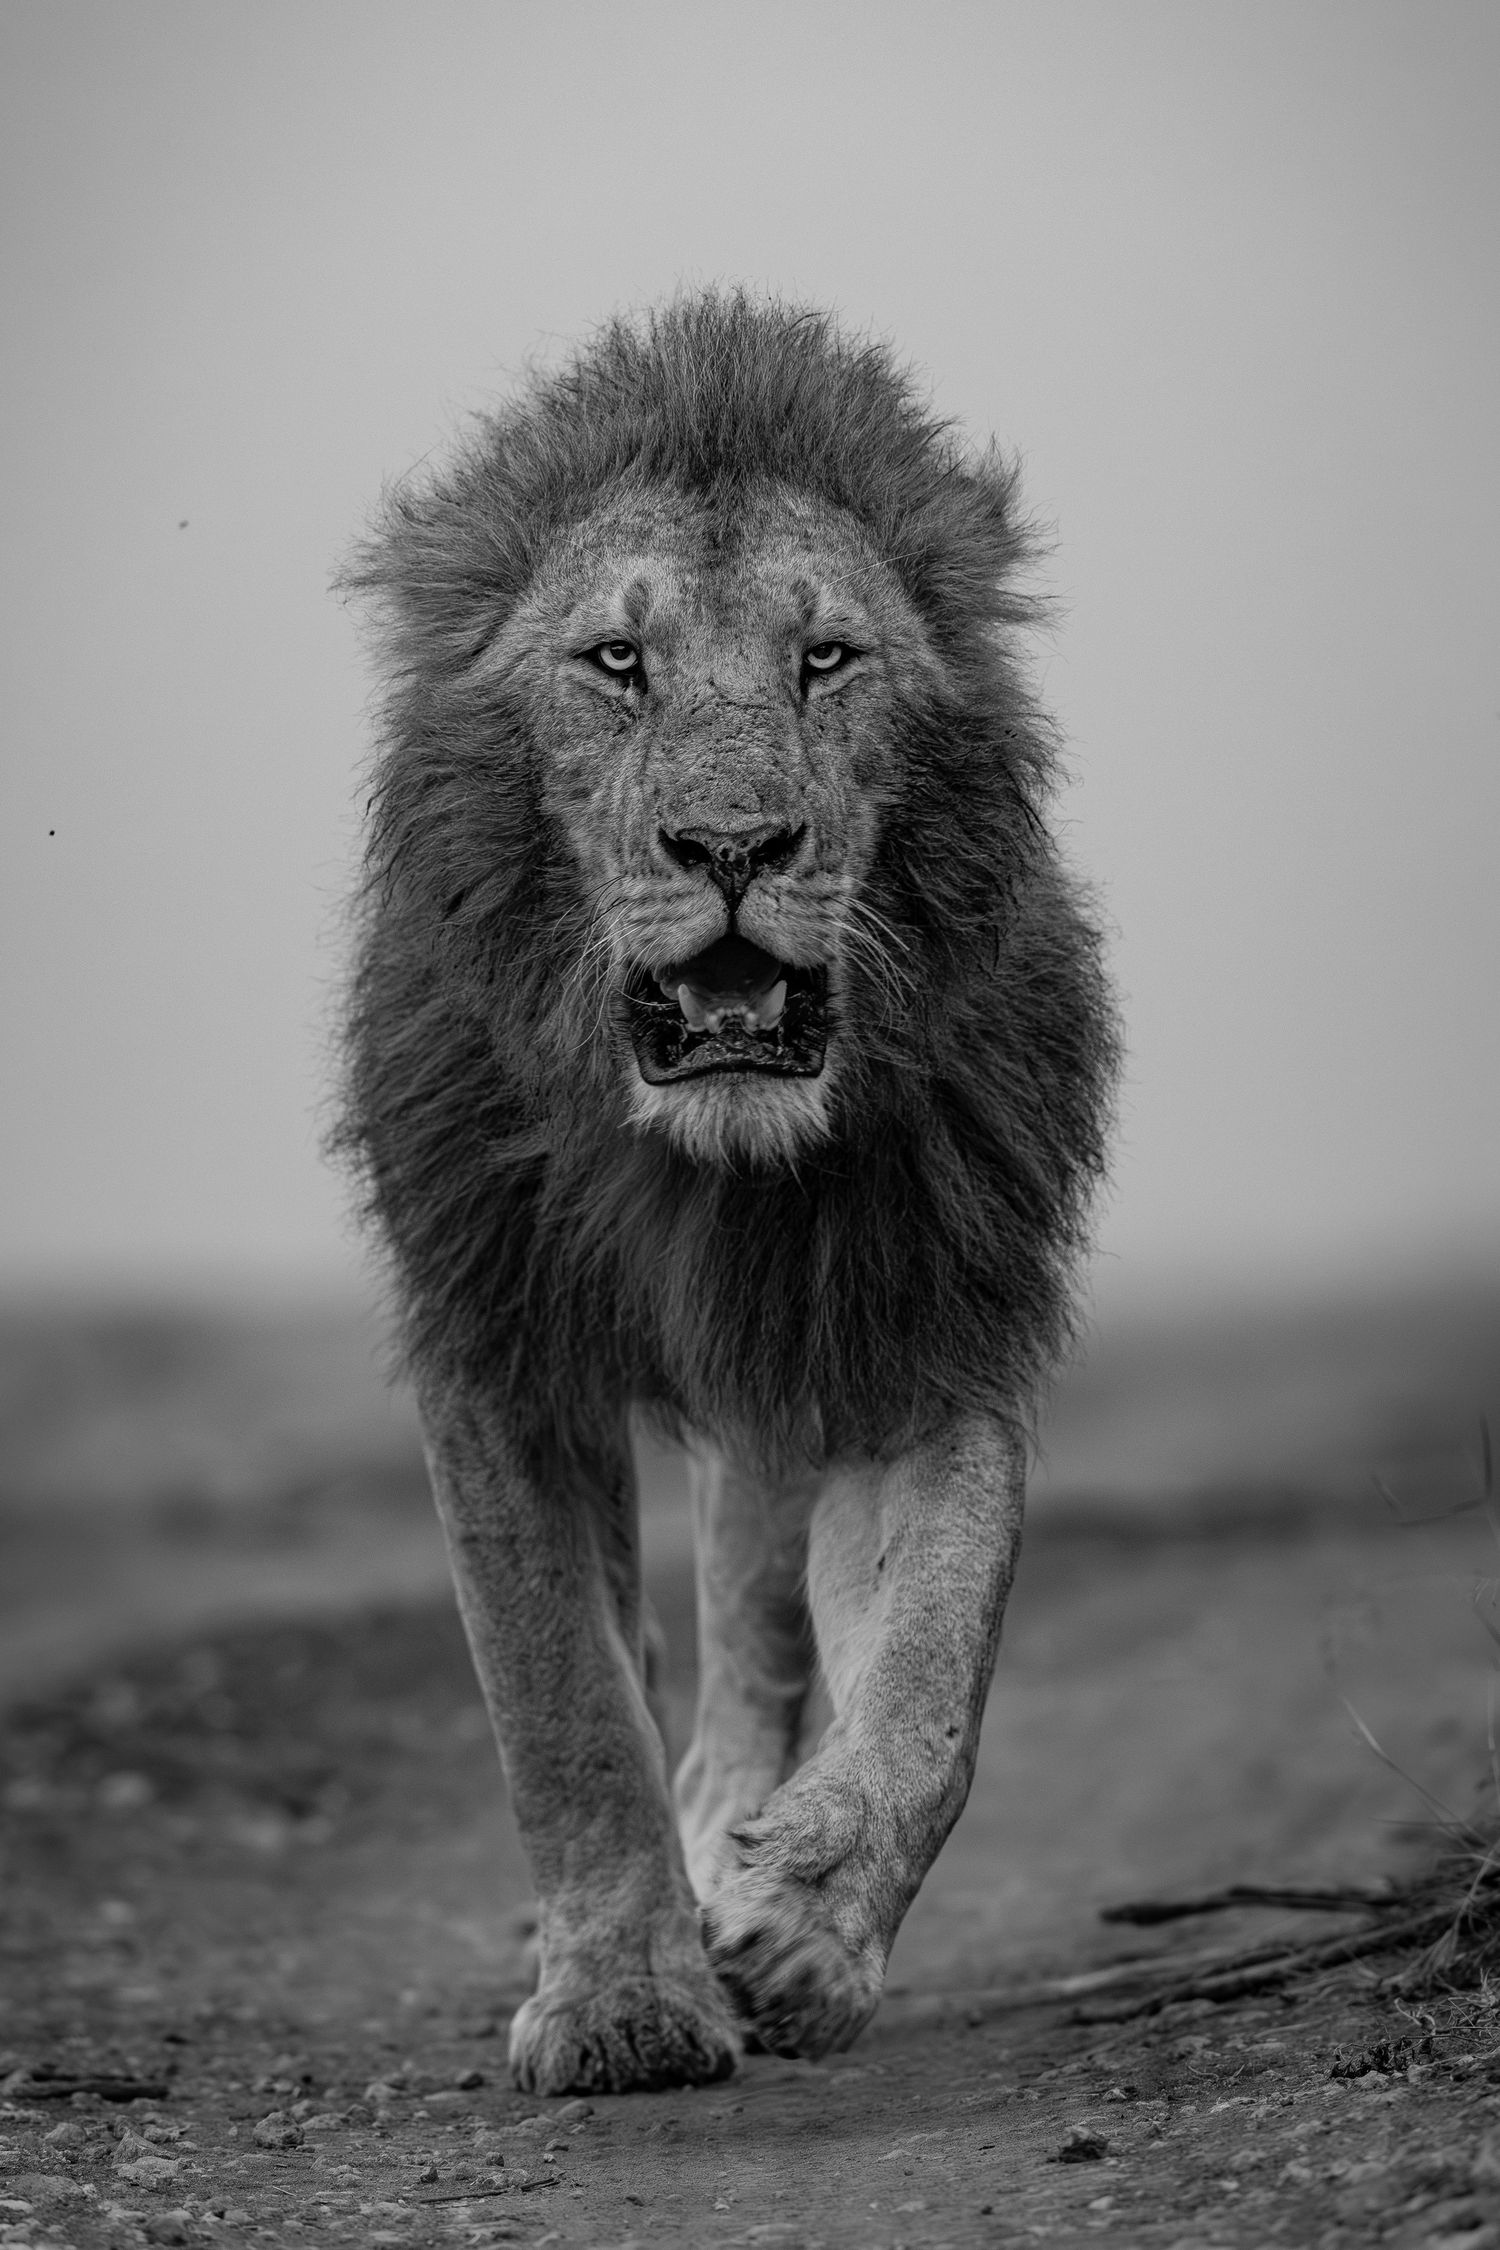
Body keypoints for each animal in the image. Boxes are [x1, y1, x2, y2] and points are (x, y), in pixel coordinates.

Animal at [336, 293, 1116, 2095]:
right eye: (616, 663)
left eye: (825, 658)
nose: (737, 844)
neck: (707, 1154)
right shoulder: (495, 1333)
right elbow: (558, 1698)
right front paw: (624, 2001)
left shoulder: (919, 1314)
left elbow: (931, 1683)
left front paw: (804, 1910)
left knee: (761, 1641)